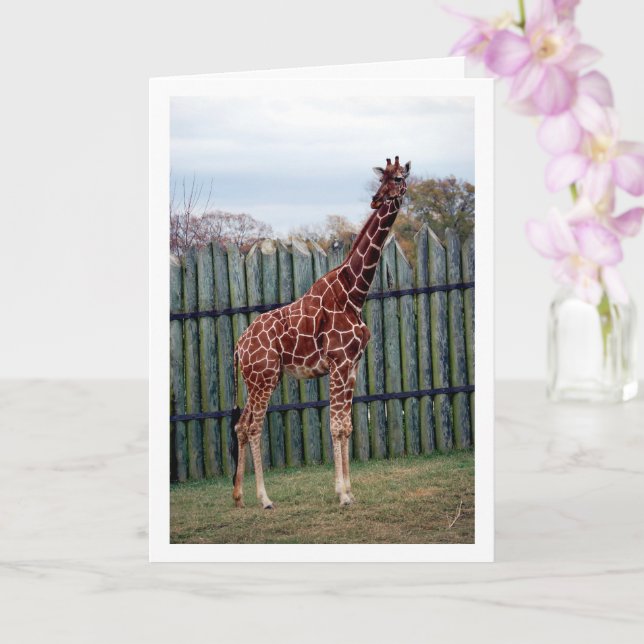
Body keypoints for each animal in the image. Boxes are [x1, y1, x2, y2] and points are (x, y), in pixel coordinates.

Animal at [232, 156, 411, 508]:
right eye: (381, 180)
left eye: (398, 178)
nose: (377, 199)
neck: (354, 293)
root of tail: (238, 346)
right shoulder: (339, 363)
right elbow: (336, 425)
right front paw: (342, 494)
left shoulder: (352, 366)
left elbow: (348, 426)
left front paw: (350, 490)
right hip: (264, 378)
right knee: (254, 427)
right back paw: (265, 498)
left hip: (255, 379)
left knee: (241, 426)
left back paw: (239, 496)